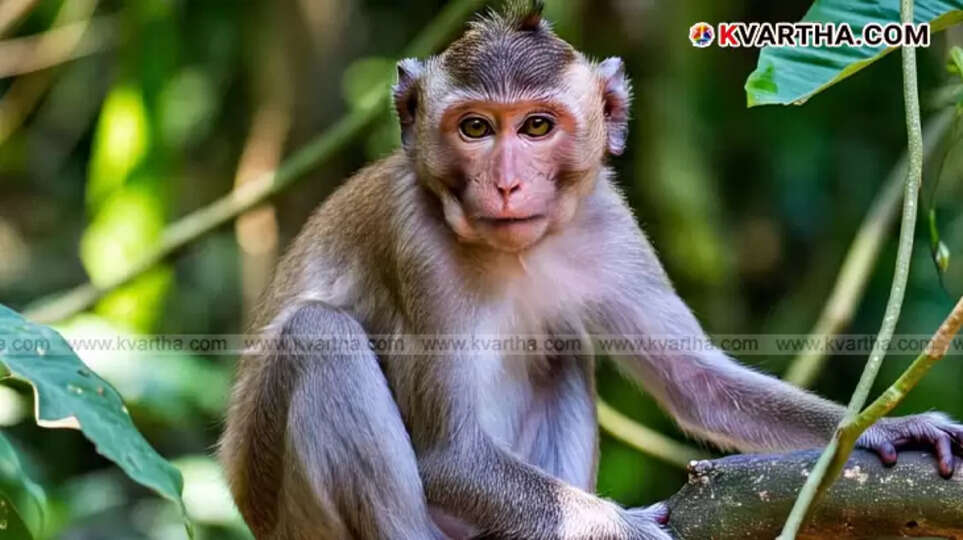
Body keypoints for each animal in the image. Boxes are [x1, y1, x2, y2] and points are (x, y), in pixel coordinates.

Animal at [219, 3, 963, 539]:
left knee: (561, 348)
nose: (507, 184)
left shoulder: (609, 224)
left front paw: (888, 426)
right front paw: (622, 529)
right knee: (320, 335)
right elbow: (449, 454)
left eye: (537, 127)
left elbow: (696, 383)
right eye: (475, 129)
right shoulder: (414, 242)